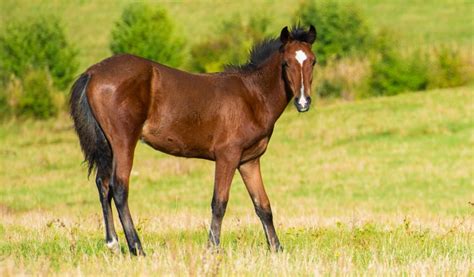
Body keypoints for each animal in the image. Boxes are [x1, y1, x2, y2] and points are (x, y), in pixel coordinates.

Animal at [68, 25, 316, 254]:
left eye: (312, 62)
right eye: (286, 63)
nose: (303, 102)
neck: (252, 96)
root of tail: (92, 72)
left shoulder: (249, 161)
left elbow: (263, 205)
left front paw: (277, 249)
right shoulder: (227, 156)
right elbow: (219, 203)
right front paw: (212, 248)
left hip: (108, 145)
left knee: (103, 185)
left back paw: (113, 244)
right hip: (123, 141)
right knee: (119, 189)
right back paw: (137, 248)